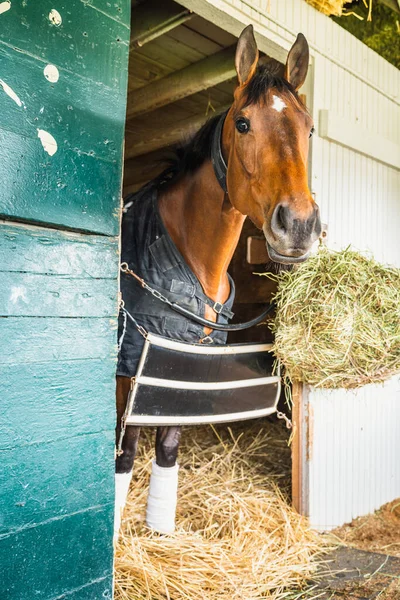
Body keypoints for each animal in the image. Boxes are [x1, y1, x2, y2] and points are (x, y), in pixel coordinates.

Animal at [114, 24, 320, 540]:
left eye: (309, 128)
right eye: (243, 124)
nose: (300, 226)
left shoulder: (186, 367)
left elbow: (167, 446)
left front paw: (159, 531)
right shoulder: (133, 368)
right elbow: (125, 453)